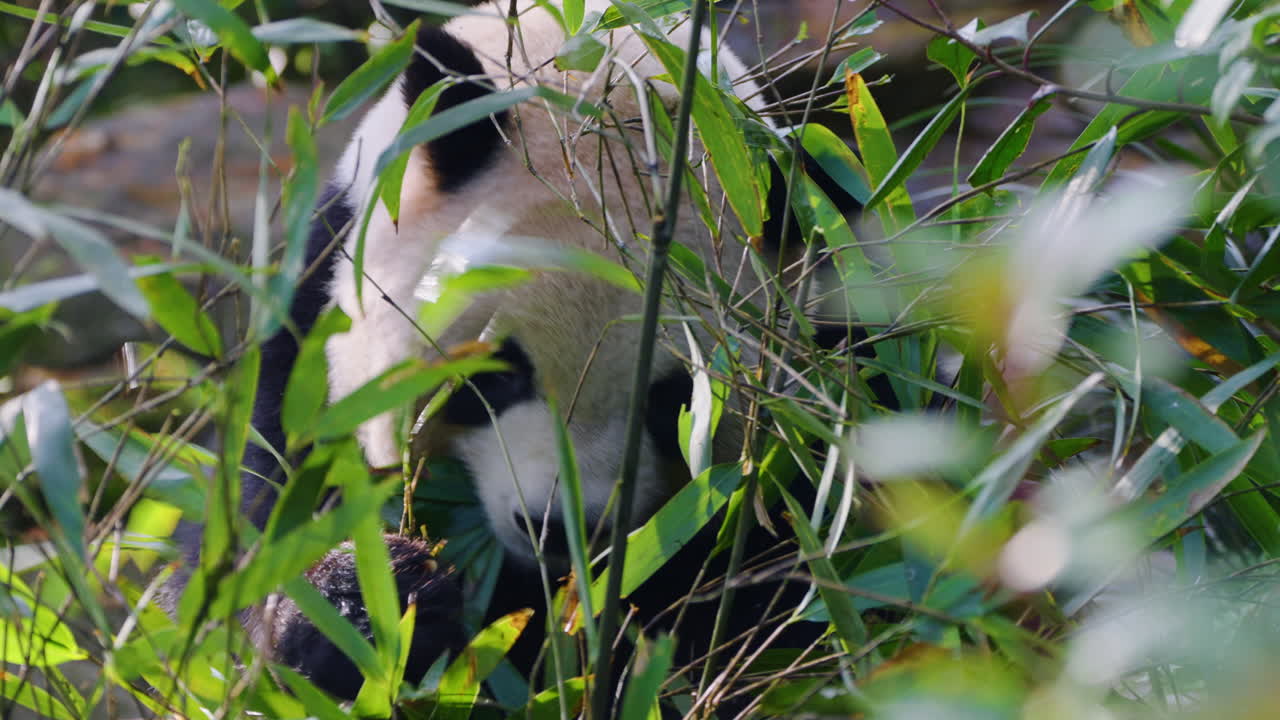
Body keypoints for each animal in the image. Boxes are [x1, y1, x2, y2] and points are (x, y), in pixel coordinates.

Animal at [188, 0, 864, 708]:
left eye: (673, 402)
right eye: (495, 376)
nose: (558, 529)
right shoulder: (306, 336)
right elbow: (258, 549)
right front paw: (375, 600)